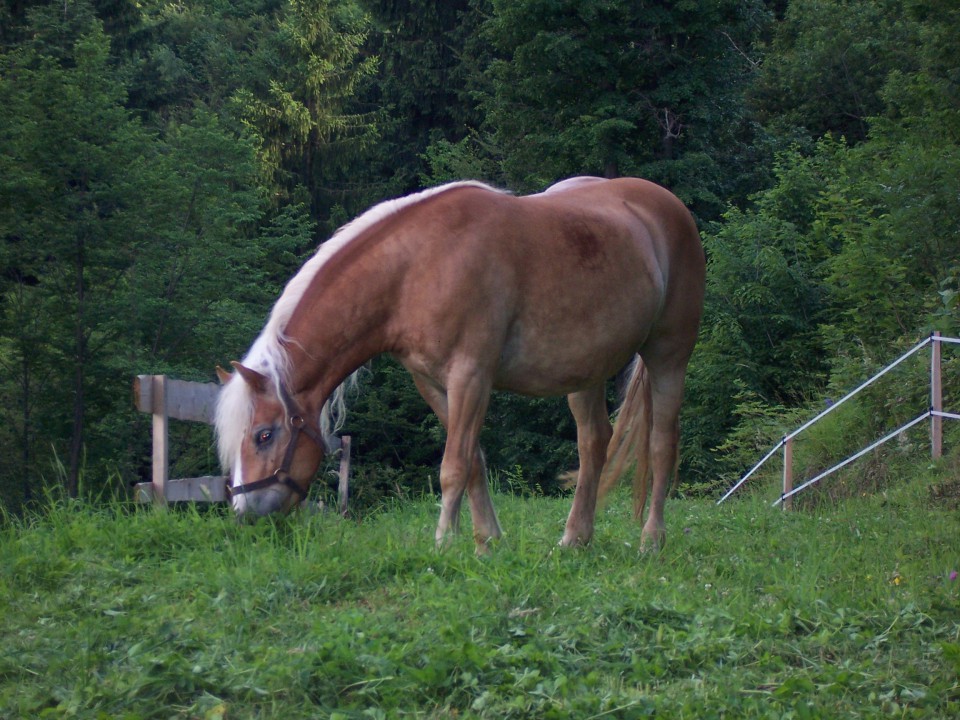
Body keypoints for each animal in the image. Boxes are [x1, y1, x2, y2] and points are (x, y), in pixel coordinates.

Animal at [214, 176, 700, 552]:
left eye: (263, 435)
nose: (243, 513)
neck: (416, 266)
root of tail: (666, 204)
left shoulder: (471, 376)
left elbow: (453, 467)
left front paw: (444, 543)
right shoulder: (433, 383)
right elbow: (474, 461)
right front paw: (488, 542)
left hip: (669, 355)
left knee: (662, 443)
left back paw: (651, 540)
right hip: (584, 372)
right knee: (593, 443)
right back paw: (575, 539)